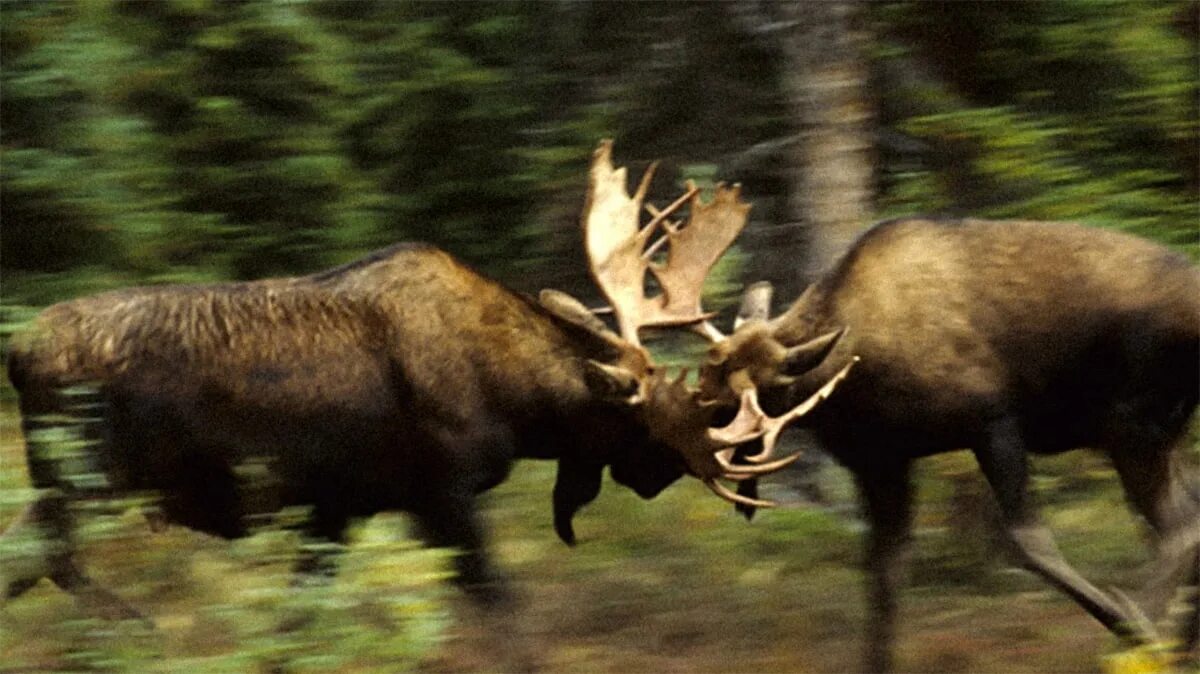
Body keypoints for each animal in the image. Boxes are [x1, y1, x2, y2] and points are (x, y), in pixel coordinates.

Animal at [2, 139, 844, 633]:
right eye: (651, 428)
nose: (653, 480)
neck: (519, 401)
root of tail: (16, 353)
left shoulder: (337, 509)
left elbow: (297, 620)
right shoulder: (440, 494)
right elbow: (502, 610)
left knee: (30, 562)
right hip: (87, 480)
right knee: (47, 560)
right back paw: (135, 629)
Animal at [700, 218, 1200, 666]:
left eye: (755, 396)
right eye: (705, 380)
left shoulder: (992, 422)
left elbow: (1026, 541)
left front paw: (1130, 626)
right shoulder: (880, 460)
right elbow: (885, 578)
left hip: (1131, 425)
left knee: (1179, 526)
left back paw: (1147, 638)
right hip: (1159, 432)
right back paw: (1176, 645)